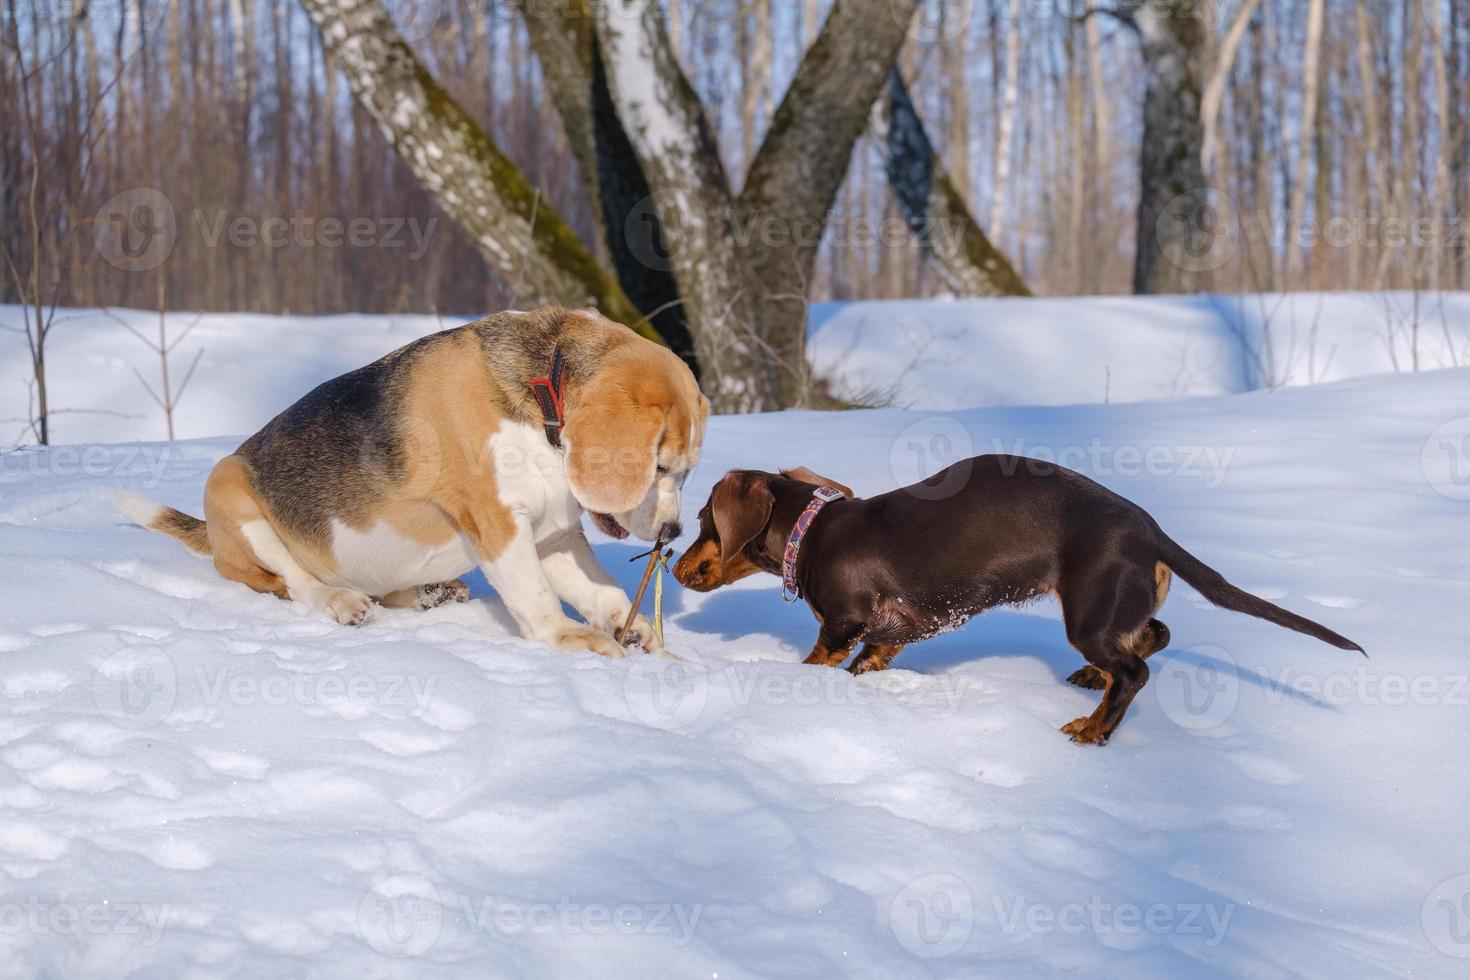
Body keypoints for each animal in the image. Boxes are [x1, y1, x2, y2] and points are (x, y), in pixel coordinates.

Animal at [120, 307, 705, 658]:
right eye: (659, 466)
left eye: (686, 470)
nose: (673, 533)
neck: (545, 396)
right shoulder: (499, 523)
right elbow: (535, 594)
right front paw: (566, 637)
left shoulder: (554, 533)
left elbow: (598, 587)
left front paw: (628, 625)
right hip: (230, 489)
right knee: (297, 584)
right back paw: (340, 601)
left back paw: (431, 592)